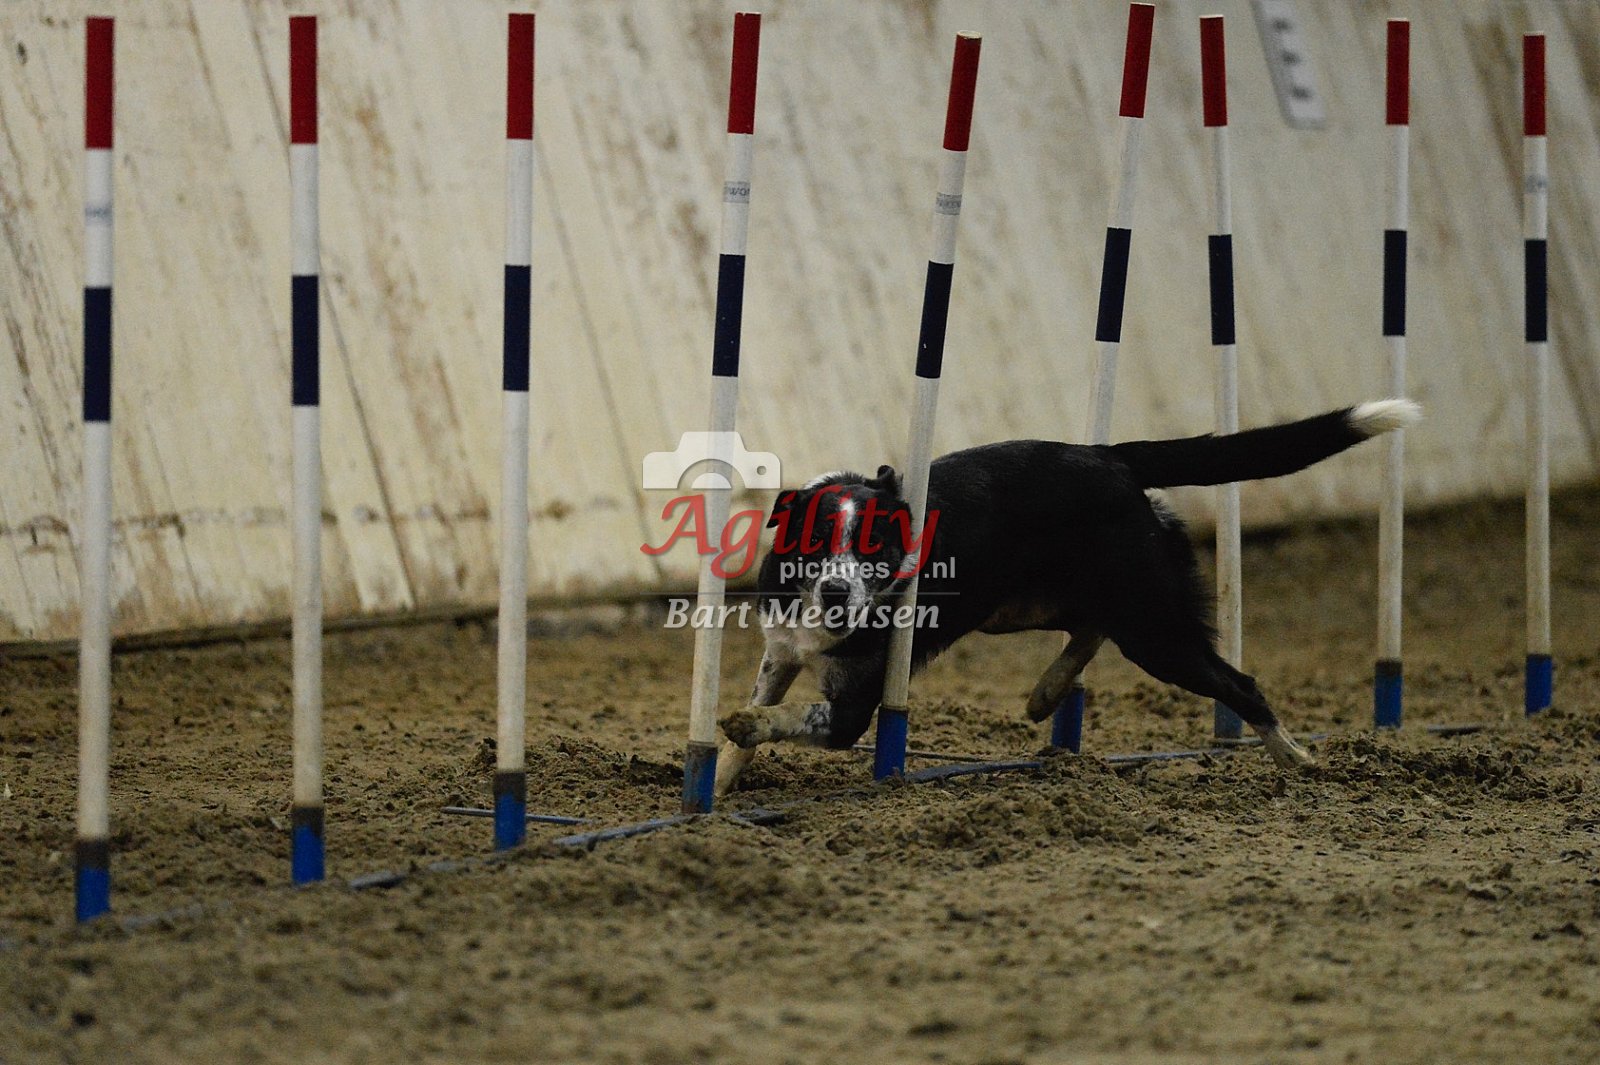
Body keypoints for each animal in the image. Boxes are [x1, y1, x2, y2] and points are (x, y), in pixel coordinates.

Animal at [713, 399, 1420, 795]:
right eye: (815, 540)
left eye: (877, 547)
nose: (837, 590)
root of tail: (1114, 457)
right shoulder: (781, 651)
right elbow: (751, 723)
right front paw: (714, 787)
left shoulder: (855, 706)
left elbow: (790, 719)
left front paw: (746, 727)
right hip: (1033, 608)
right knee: (1089, 626)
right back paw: (1046, 692)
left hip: (1153, 627)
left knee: (1238, 683)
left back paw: (1297, 759)